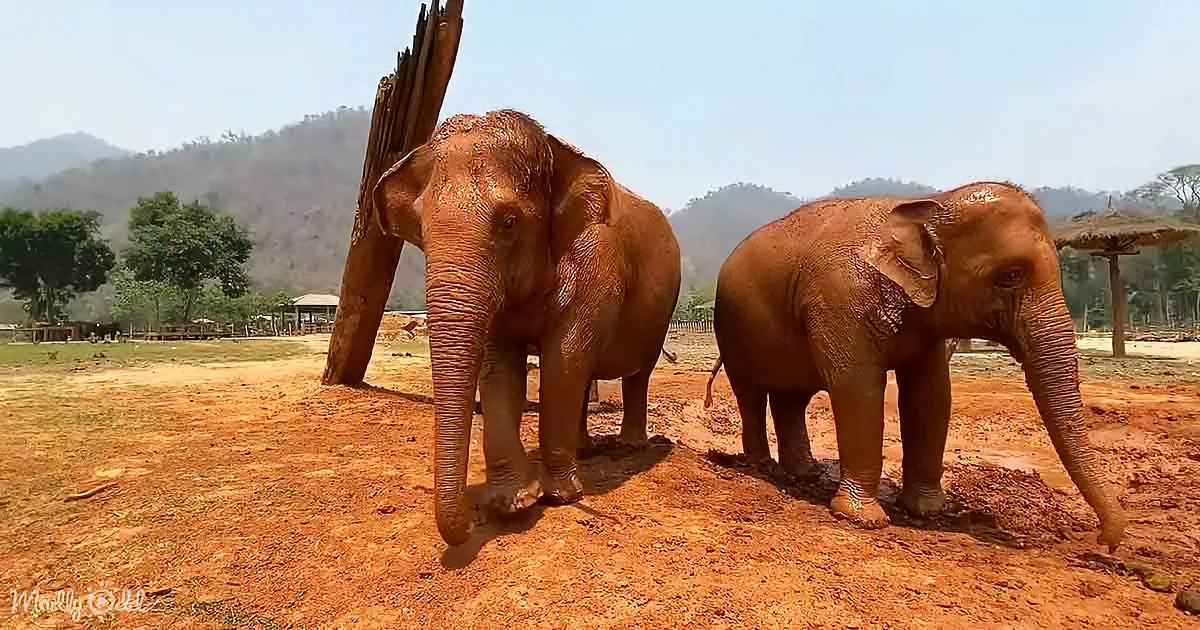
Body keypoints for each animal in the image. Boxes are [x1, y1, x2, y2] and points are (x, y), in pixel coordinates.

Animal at [372, 109, 682, 546]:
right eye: (421, 229)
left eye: (508, 222)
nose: (471, 523)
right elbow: (500, 367)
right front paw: (513, 501)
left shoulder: (595, 267)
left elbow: (563, 359)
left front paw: (560, 497)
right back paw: (584, 448)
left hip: (663, 310)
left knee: (638, 371)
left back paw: (630, 446)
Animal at [705, 182, 1125, 550]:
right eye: (1010, 276)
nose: (1105, 542)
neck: (929, 204)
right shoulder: (840, 302)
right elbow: (857, 388)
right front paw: (863, 519)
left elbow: (931, 394)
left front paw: (928, 510)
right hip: (733, 332)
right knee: (751, 394)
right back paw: (762, 468)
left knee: (792, 398)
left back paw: (803, 472)